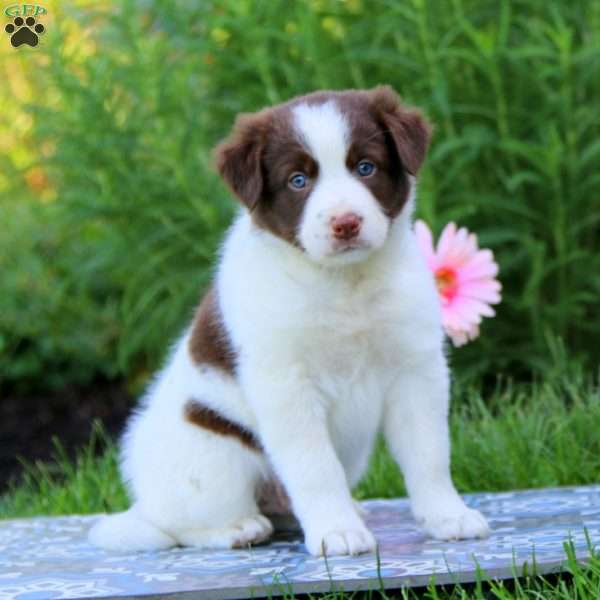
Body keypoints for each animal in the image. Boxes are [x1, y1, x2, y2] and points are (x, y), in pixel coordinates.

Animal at [90, 86, 492, 556]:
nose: (345, 223)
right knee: (179, 525)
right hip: (210, 453)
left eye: (366, 167)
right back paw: (239, 528)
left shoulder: (416, 368)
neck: (343, 283)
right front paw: (336, 532)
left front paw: (447, 516)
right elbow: (314, 466)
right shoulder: (286, 385)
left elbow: (429, 453)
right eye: (298, 181)